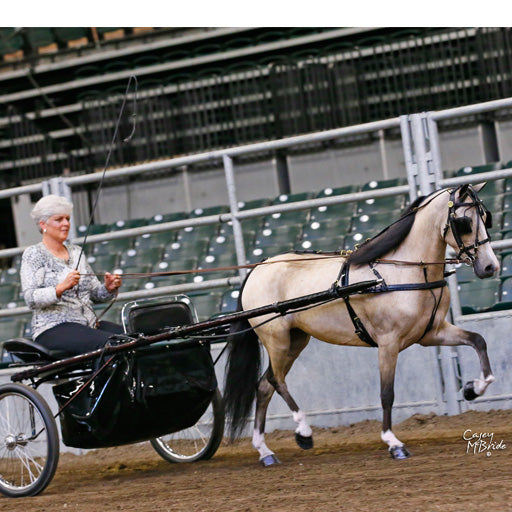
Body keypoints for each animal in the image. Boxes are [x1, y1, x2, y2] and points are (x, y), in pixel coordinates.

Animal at [222, 183, 498, 464]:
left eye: (486, 217)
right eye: (464, 222)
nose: (490, 267)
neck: (403, 272)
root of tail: (257, 269)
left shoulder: (432, 333)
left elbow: (479, 341)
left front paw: (473, 389)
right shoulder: (388, 343)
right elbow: (387, 393)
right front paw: (393, 442)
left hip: (295, 340)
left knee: (264, 386)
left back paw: (265, 451)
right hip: (275, 338)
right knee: (276, 381)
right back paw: (304, 432)